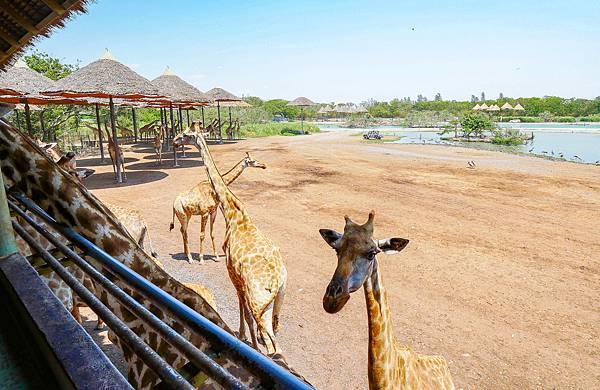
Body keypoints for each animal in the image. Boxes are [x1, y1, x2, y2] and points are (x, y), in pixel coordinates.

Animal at [172, 129, 288, 354]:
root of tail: (278, 281)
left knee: (273, 346)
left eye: (185, 134)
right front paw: (246, 339)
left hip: (261, 304)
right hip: (278, 301)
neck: (234, 213)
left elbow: (244, 312)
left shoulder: (233, 275)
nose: (173, 142)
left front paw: (245, 339)